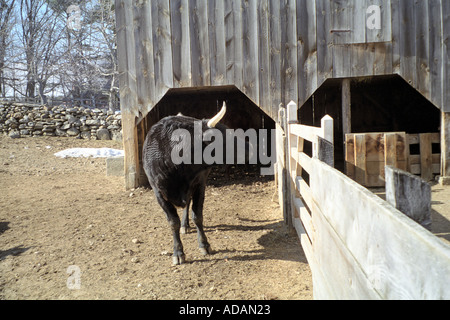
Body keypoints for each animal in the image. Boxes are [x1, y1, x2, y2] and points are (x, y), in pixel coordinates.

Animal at [142, 105, 251, 264]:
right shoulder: (159, 193)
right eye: (226, 136)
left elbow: (197, 216)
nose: (251, 147)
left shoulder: (199, 184)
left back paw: (185, 224)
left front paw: (204, 244)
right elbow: (172, 222)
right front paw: (178, 252)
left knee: (187, 204)